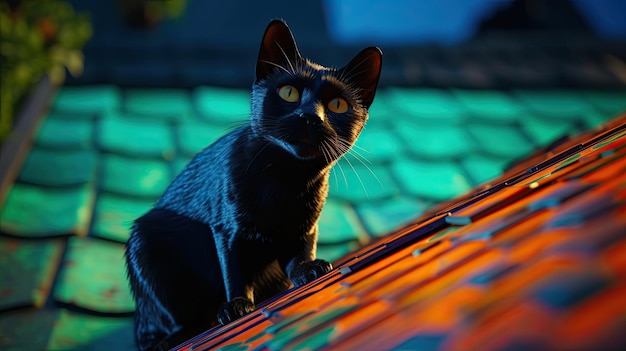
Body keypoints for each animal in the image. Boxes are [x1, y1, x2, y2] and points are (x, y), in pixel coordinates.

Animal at [123, 20, 380, 351]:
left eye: (337, 104)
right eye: (288, 92)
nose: (310, 117)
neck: (284, 181)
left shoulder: (305, 227)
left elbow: (301, 253)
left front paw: (309, 269)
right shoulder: (227, 229)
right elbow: (235, 270)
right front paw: (236, 306)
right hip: (146, 246)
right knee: (173, 323)